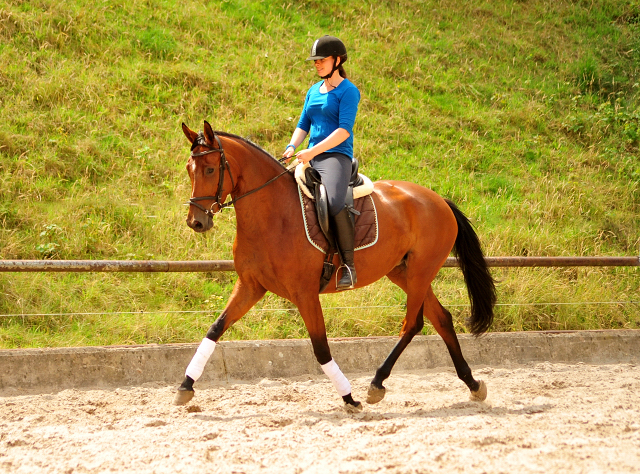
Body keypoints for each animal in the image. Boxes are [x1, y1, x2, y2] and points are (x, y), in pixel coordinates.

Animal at [176, 122, 500, 412]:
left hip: (421, 272)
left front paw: (349, 398)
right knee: (441, 319)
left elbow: (321, 348)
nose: (196, 222)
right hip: (403, 273)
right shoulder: (251, 286)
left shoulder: (304, 293)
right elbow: (215, 329)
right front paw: (185, 386)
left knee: (413, 323)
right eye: (190, 169)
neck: (272, 215)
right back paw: (472, 384)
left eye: (210, 169)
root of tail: (439, 200)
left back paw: (377, 383)